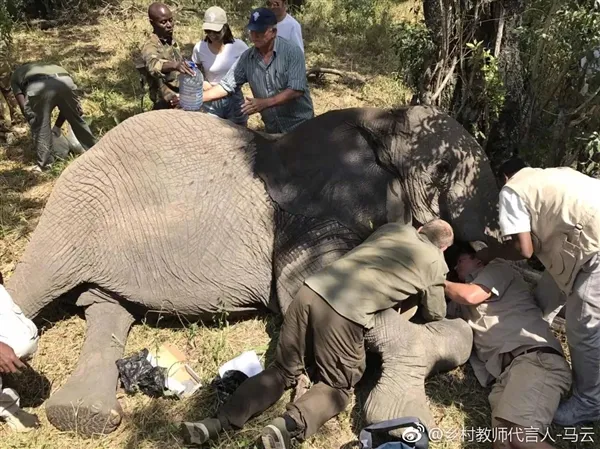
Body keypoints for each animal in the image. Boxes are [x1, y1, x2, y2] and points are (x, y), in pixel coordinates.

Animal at [7, 104, 500, 434]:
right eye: (447, 170)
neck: (381, 121)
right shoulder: (310, 211)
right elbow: (301, 283)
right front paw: (407, 405)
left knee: (107, 307)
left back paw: (82, 416)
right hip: (74, 209)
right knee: (37, 282)